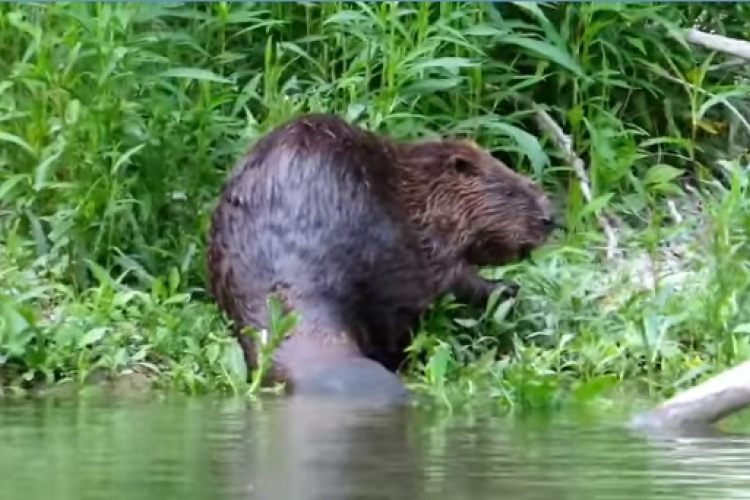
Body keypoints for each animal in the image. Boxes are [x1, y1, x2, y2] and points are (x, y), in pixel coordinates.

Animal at [206, 113, 560, 402]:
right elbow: (456, 276)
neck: (421, 188)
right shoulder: (431, 239)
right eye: (511, 191)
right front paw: (507, 288)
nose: (550, 219)